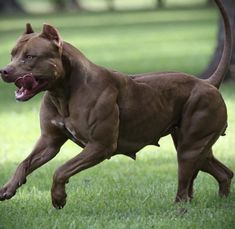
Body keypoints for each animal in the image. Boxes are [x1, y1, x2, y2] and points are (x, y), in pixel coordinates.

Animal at [0, 0, 232, 209]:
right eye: (12, 55)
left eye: (30, 56)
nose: (4, 70)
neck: (63, 92)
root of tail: (207, 82)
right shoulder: (49, 142)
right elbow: (25, 162)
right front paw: (8, 188)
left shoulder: (100, 146)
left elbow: (61, 170)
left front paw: (59, 197)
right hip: (195, 146)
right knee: (224, 172)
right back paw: (222, 201)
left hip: (190, 148)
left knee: (185, 187)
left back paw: (179, 208)